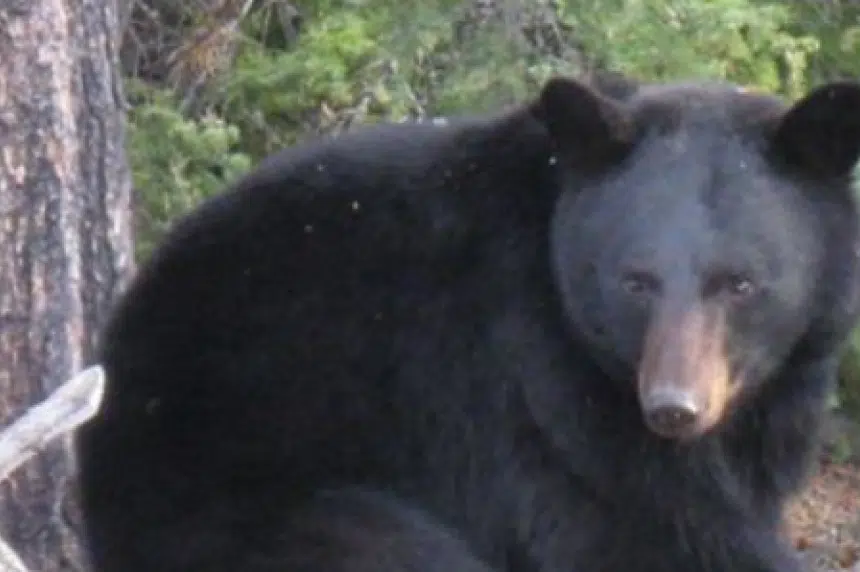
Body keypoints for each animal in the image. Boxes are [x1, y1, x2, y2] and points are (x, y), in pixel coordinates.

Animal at [75, 76, 860, 572]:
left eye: (740, 283)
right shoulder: (537, 410)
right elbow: (641, 535)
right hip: (255, 508)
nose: (674, 407)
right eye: (635, 280)